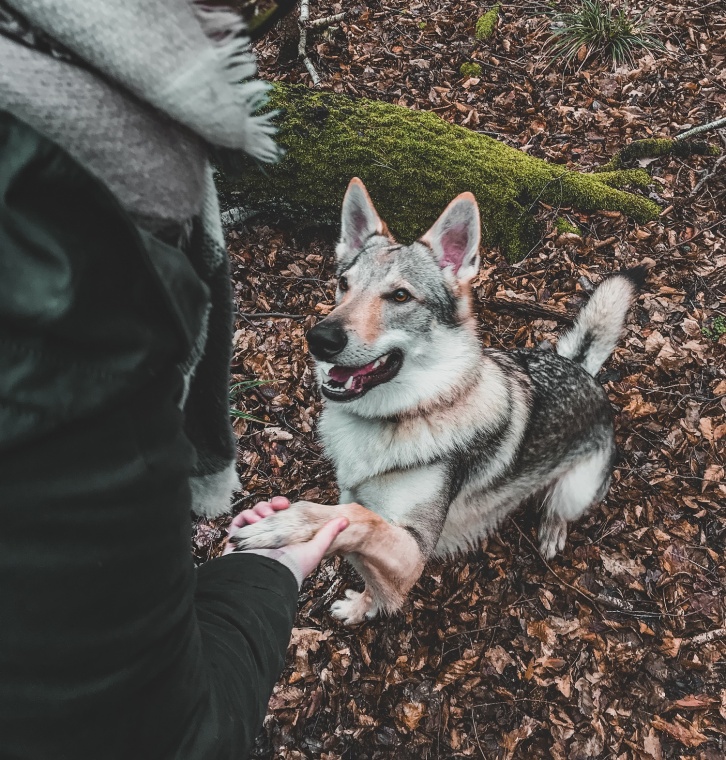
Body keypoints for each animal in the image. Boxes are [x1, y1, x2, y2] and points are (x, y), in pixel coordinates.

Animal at [230, 177, 644, 624]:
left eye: (399, 296)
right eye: (344, 284)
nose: (320, 339)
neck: (403, 414)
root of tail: (580, 368)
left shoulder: (414, 547)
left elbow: (353, 519)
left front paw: (285, 524)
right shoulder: (366, 513)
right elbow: (368, 566)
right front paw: (364, 607)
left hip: (576, 490)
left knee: (559, 507)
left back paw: (552, 528)